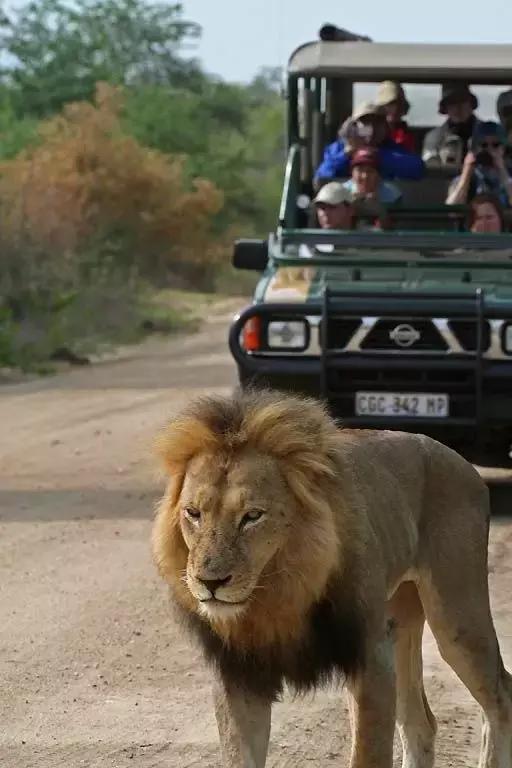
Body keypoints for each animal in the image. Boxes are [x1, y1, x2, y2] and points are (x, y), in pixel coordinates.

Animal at [152, 390, 512, 768]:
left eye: (252, 516)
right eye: (193, 513)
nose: (210, 582)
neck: (276, 596)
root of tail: (462, 462)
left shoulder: (371, 658)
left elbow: (368, 755)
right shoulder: (238, 674)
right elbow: (240, 756)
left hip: (456, 616)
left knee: (501, 694)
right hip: (400, 623)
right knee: (421, 723)